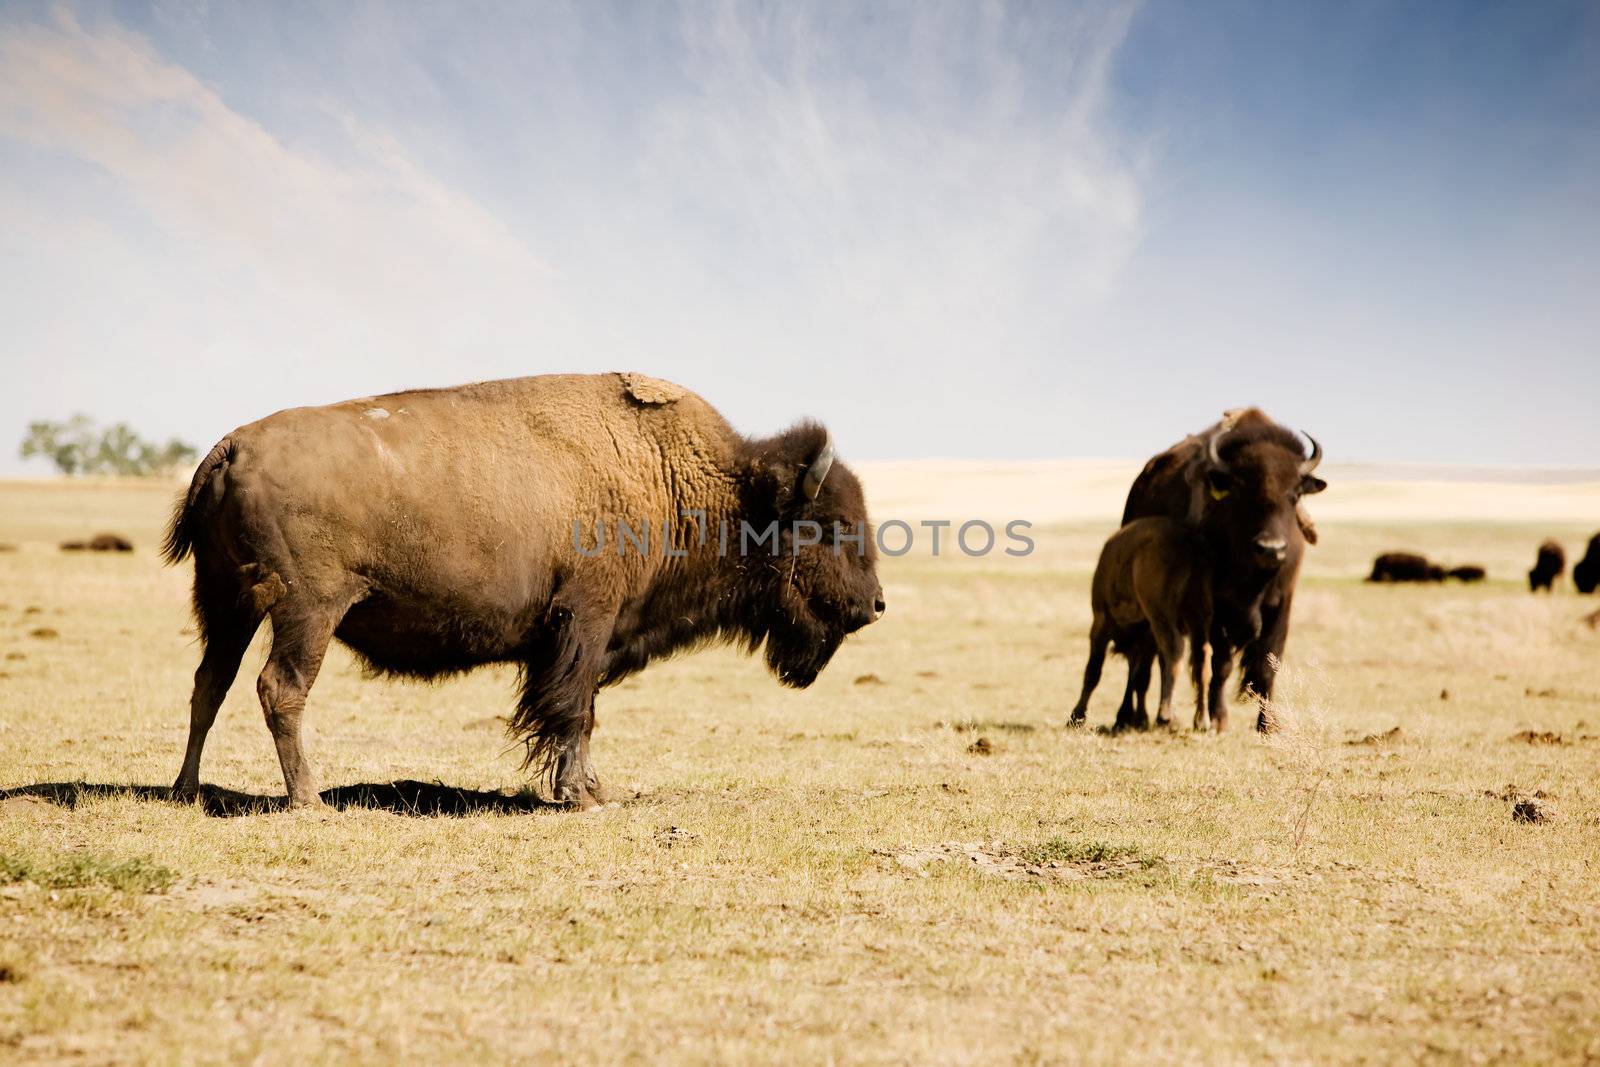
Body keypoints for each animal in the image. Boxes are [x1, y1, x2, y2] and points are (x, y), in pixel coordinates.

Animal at [164, 375, 889, 809]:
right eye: (830, 525)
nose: (875, 603)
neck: (678, 477)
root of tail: (228, 449)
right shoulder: (587, 620)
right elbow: (575, 711)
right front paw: (581, 794)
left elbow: (579, 709)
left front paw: (590, 787)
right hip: (306, 608)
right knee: (279, 689)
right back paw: (308, 798)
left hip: (225, 604)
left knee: (209, 684)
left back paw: (186, 788)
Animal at [1068, 518, 1203, 735]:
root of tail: (1187, 538)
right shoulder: (1145, 639)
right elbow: (1140, 678)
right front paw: (1138, 717)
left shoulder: (1100, 623)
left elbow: (1093, 672)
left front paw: (1076, 717)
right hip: (1201, 616)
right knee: (1202, 657)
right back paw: (1202, 719)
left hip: (1161, 615)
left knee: (1175, 649)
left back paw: (1166, 715)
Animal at [1113, 404, 1324, 729]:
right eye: (1241, 490)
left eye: (1295, 494)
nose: (1271, 549)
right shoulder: (1217, 608)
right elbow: (1220, 663)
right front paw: (1219, 718)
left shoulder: (1281, 603)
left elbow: (1268, 662)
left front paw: (1268, 725)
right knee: (1144, 655)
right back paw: (1128, 717)